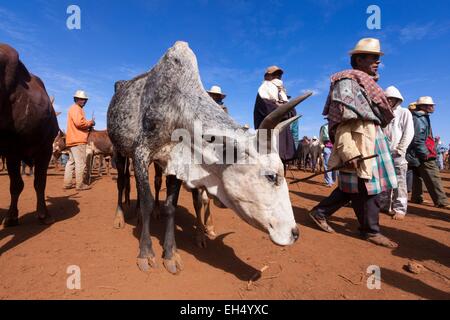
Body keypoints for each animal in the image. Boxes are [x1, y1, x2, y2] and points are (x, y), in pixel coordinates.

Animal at [0, 43, 59, 226]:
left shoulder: (45, 150)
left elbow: (39, 183)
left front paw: (43, 214)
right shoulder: (11, 152)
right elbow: (16, 185)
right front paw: (11, 215)